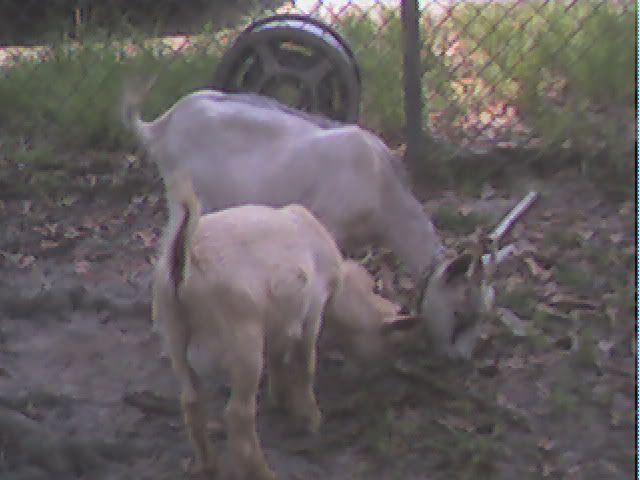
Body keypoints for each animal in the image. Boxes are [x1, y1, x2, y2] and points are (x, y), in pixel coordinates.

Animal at [125, 81, 495, 359]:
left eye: (482, 315)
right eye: (459, 313)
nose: (460, 359)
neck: (383, 192)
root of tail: (163, 124)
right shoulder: (327, 224)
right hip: (183, 194)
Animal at [152, 170, 418, 479]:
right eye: (393, 345)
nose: (372, 380)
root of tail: (182, 261)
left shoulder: (280, 318)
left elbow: (279, 354)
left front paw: (280, 398)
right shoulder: (312, 308)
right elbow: (305, 363)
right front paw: (311, 418)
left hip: (174, 336)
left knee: (192, 401)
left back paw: (210, 465)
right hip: (243, 340)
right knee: (237, 414)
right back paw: (263, 471)